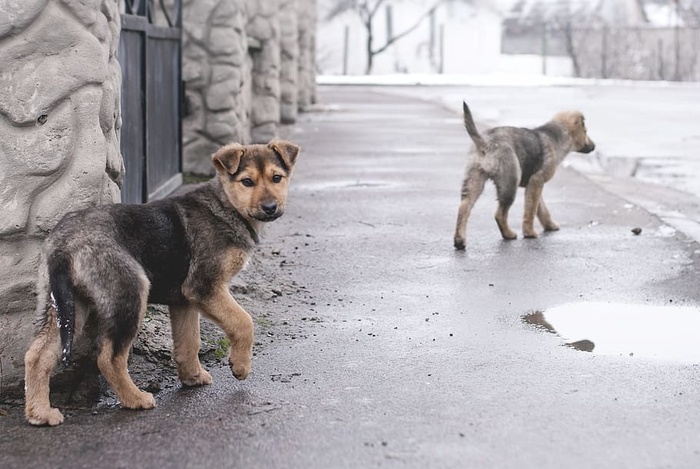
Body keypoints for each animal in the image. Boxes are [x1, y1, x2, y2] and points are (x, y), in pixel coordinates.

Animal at [23, 138, 300, 424]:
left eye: (276, 178)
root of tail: (65, 245)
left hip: (64, 305)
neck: (225, 206)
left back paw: (39, 412)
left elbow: (189, 342)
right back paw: (135, 399)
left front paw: (192, 377)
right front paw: (240, 366)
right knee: (109, 358)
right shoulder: (205, 287)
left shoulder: (184, 301)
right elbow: (243, 321)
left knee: (37, 355)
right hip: (129, 294)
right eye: (247, 182)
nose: (270, 208)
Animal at [454, 101, 596, 250]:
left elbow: (541, 209)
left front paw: (549, 225)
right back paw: (508, 234)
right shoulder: (537, 180)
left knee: (464, 208)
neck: (556, 137)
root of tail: (485, 143)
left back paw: (459, 240)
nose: (594, 146)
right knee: (499, 214)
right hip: (510, 182)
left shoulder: (534, 184)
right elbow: (531, 210)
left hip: (474, 180)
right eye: (585, 131)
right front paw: (529, 233)